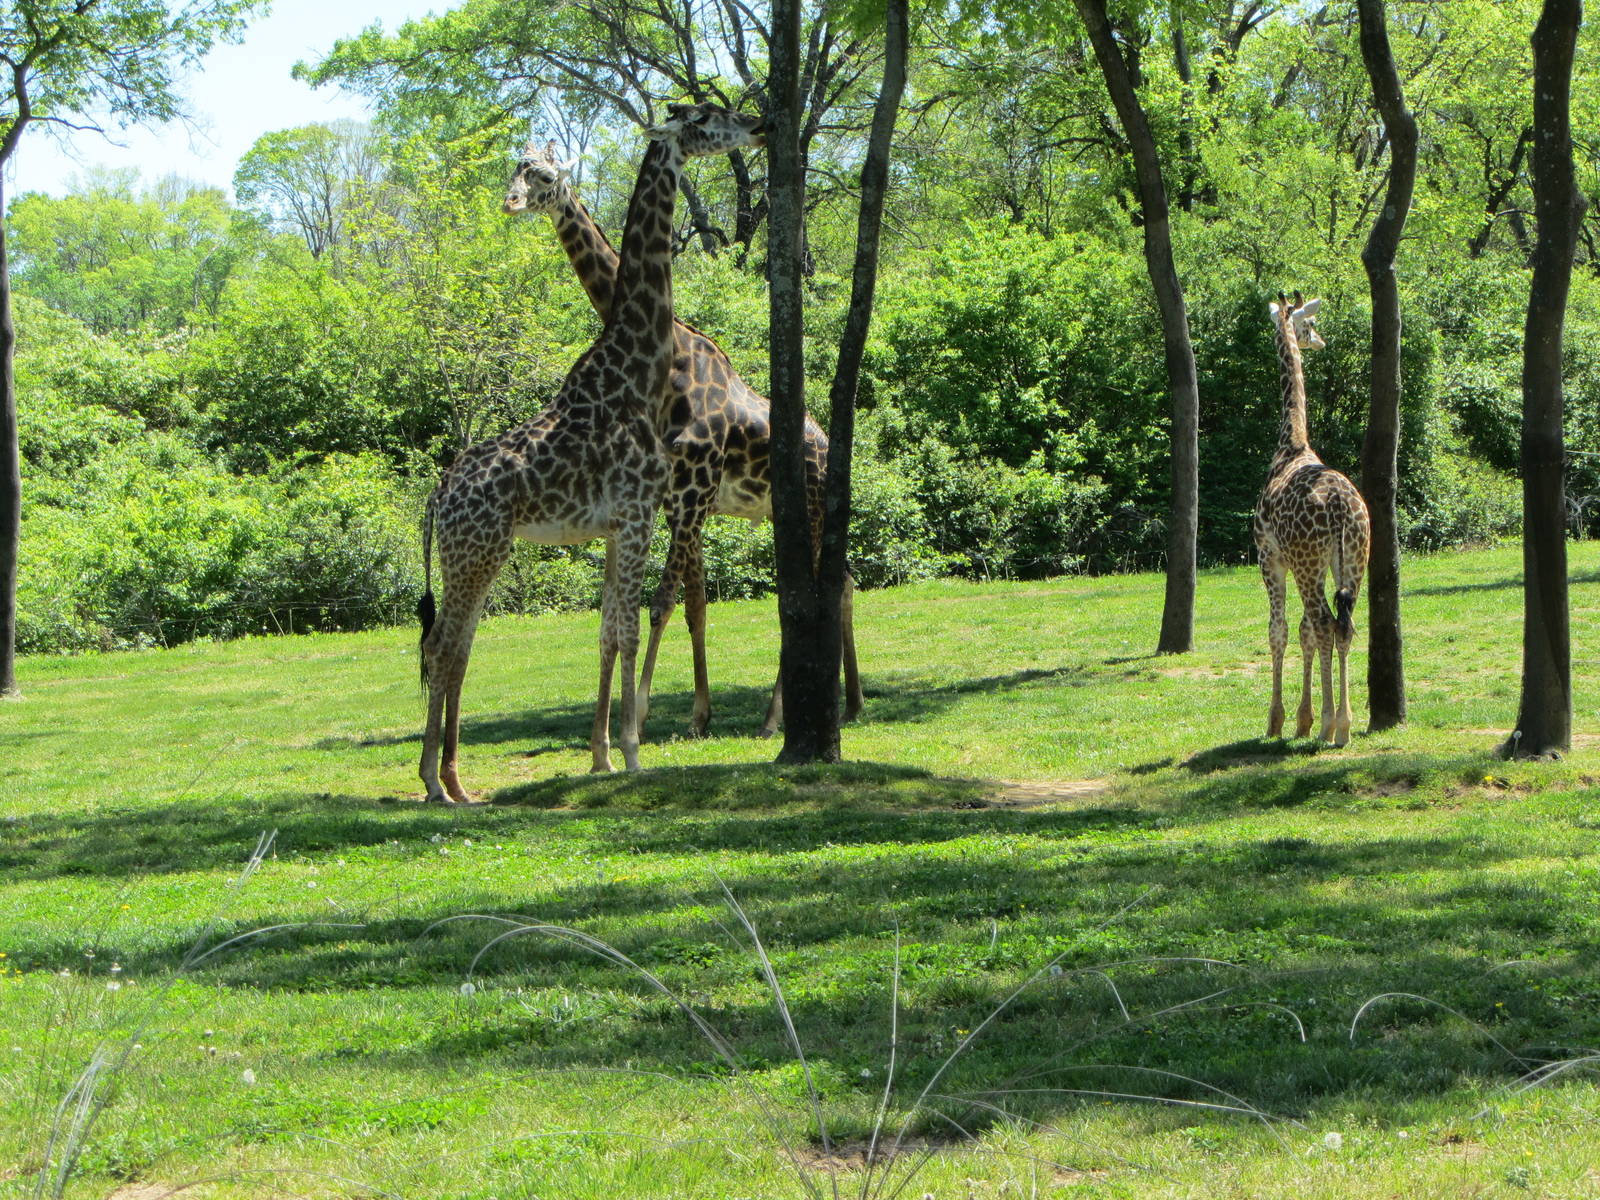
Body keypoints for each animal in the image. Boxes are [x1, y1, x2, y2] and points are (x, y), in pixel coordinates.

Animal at [417, 104, 766, 801]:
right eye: (706, 119)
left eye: (542, 172)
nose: (760, 123)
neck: (636, 368)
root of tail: (438, 495)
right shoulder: (636, 515)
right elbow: (628, 629)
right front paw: (630, 752)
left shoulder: (620, 523)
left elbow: (610, 629)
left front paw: (605, 753)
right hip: (478, 553)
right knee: (444, 647)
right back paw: (438, 784)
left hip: (471, 555)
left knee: (452, 645)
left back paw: (451, 781)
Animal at [502, 142, 864, 738]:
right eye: (516, 167)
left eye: (547, 177)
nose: (511, 201)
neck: (671, 357)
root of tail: (828, 449)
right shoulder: (679, 500)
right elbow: (694, 602)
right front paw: (698, 712)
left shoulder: (692, 492)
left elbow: (664, 601)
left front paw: (645, 712)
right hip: (787, 513)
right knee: (843, 583)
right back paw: (849, 703)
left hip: (811, 510)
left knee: (824, 589)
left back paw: (778, 718)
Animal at [1253, 292, 1372, 747]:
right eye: (1310, 325)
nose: (1319, 341)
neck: (1293, 442)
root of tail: (1340, 507)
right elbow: (1303, 631)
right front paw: (1301, 719)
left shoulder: (1269, 556)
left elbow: (1281, 629)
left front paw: (1278, 719)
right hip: (1354, 560)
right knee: (1343, 626)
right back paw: (1343, 725)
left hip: (1306, 563)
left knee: (1323, 622)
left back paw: (1329, 724)